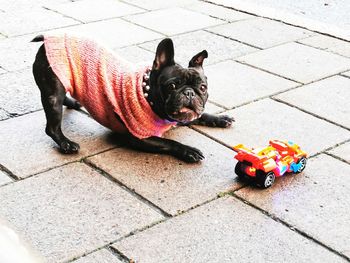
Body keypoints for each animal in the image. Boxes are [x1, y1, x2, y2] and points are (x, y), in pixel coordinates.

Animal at [32, 35, 232, 163]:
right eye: (172, 86)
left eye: (203, 88)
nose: (189, 93)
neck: (149, 97)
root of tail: (49, 39)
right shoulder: (138, 137)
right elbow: (168, 142)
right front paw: (188, 150)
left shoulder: (180, 117)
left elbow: (201, 116)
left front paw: (220, 118)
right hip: (53, 94)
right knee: (52, 126)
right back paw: (66, 144)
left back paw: (74, 103)